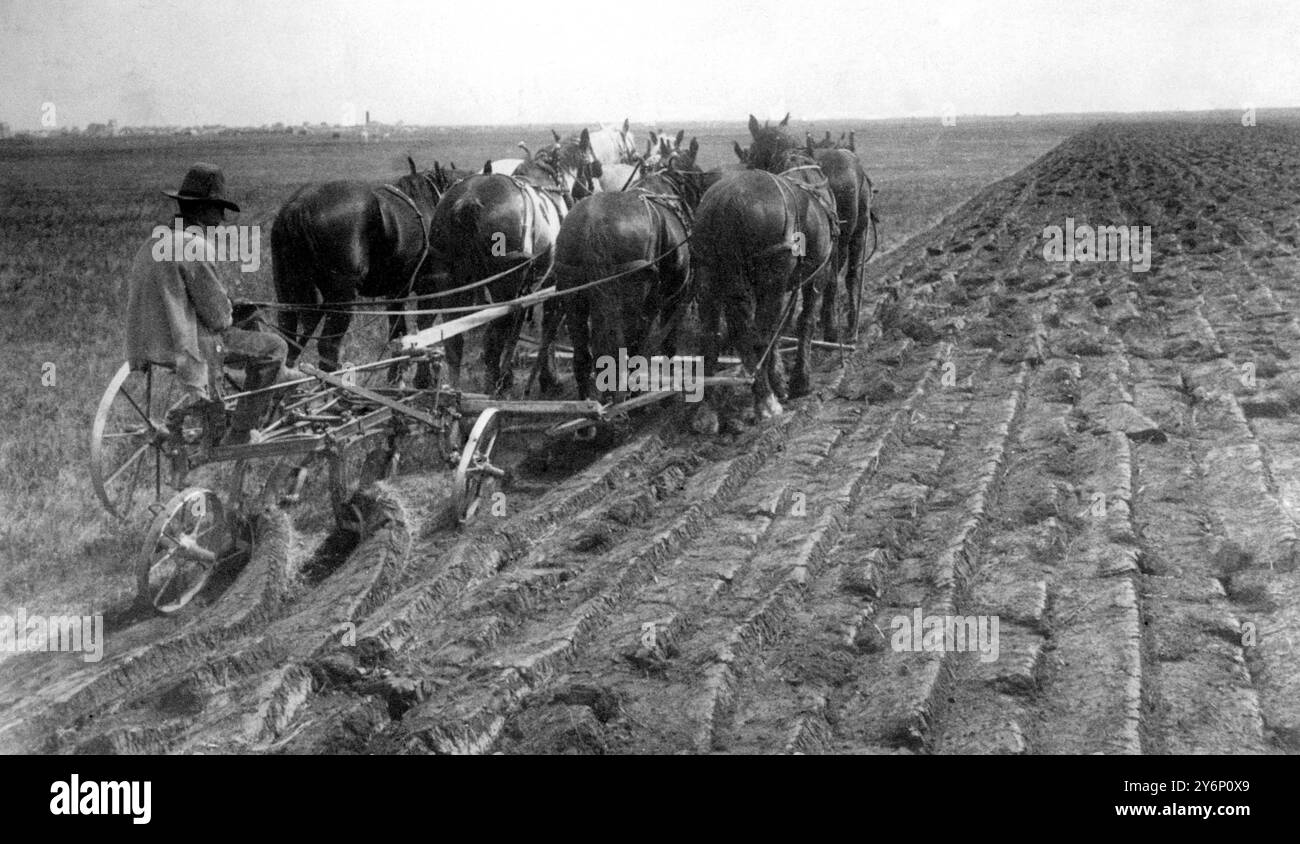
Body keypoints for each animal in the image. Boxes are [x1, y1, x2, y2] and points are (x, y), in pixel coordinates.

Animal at [271, 158, 454, 369]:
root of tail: (298, 206)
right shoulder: (430, 291)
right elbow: (424, 333)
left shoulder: (396, 293)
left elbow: (398, 336)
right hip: (343, 298)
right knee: (328, 346)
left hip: (289, 292)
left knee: (289, 339)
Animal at [418, 133, 600, 392]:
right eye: (593, 165)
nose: (590, 192)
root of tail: (468, 199)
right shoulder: (550, 281)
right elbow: (547, 328)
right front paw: (547, 377)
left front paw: (512, 374)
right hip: (504, 282)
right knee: (493, 338)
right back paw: (491, 387)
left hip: (451, 276)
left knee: (454, 338)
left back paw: (455, 389)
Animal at [543, 136, 717, 400]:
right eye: (696, 175)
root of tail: (593, 223)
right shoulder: (672, 298)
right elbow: (665, 343)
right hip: (631, 298)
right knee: (624, 353)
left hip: (572, 294)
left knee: (583, 358)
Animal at [696, 118, 837, 421]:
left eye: (749, 153)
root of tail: (726, 202)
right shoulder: (814, 276)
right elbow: (803, 323)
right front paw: (799, 382)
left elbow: (778, 330)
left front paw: (779, 380)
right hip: (770, 282)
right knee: (755, 337)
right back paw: (765, 401)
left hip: (709, 277)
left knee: (710, 337)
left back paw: (707, 410)